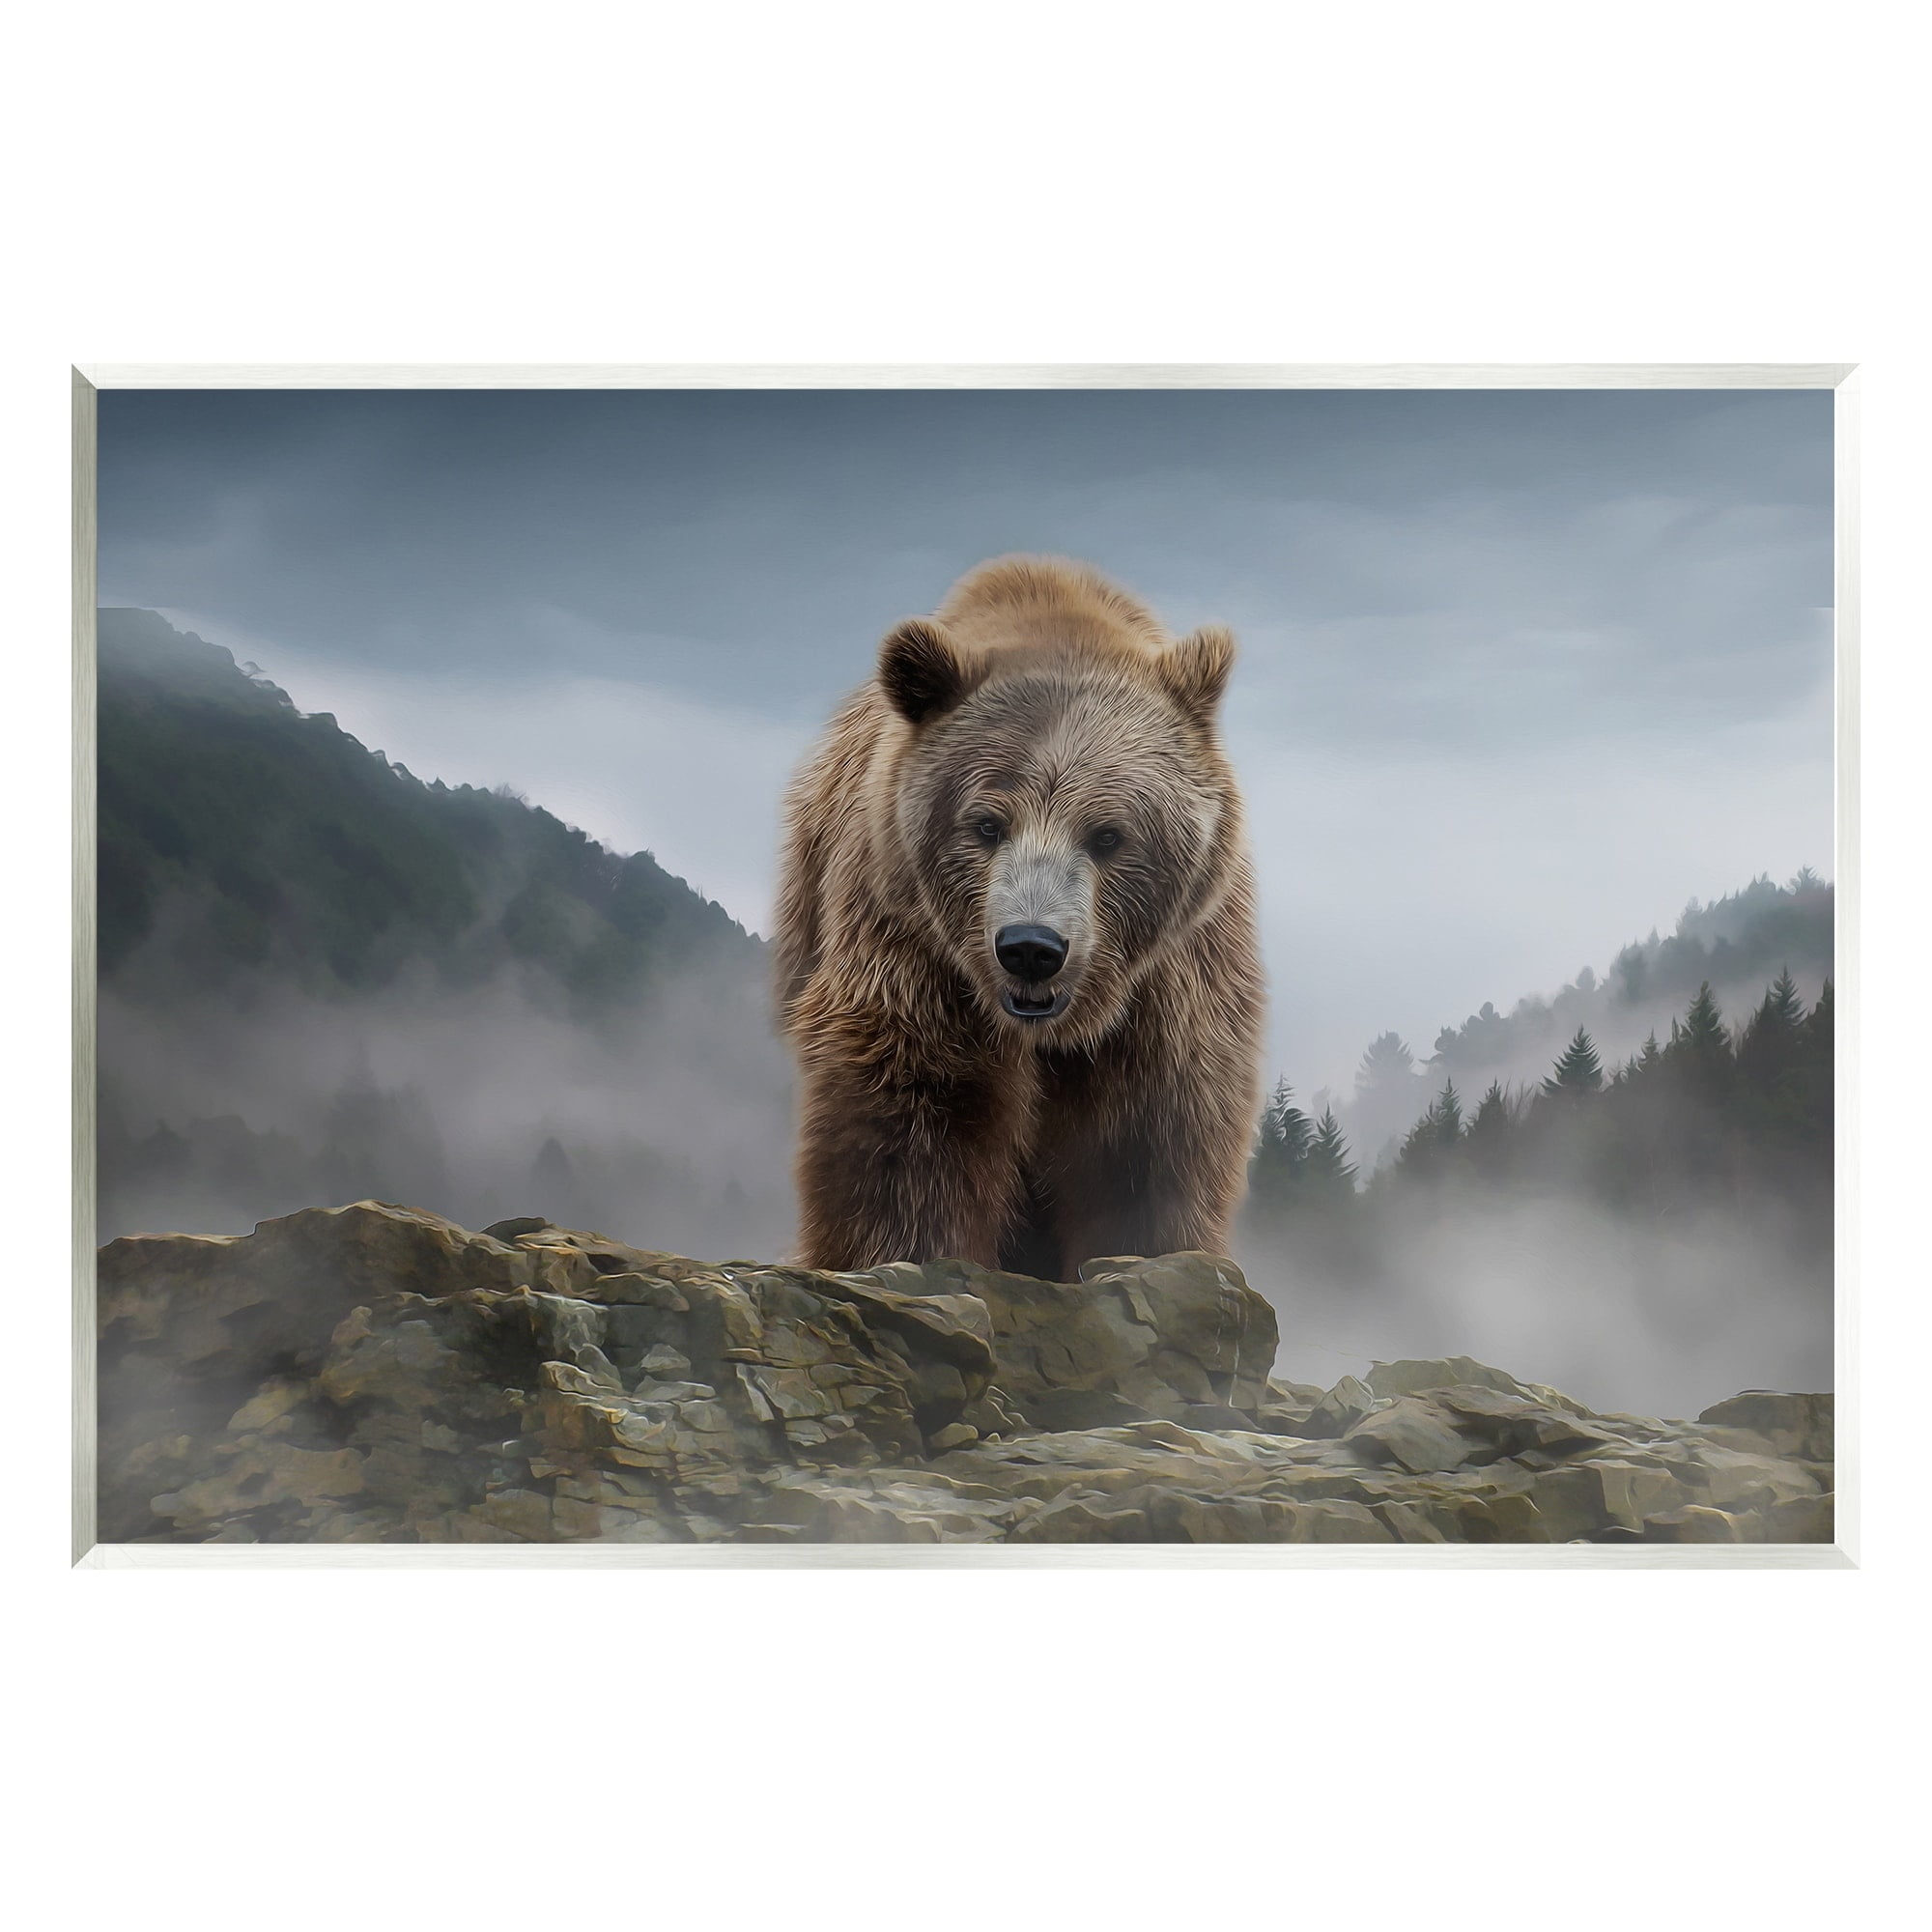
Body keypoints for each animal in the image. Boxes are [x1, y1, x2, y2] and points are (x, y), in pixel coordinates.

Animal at [773, 554, 1265, 1281]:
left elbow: (1149, 1133)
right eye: (986, 824)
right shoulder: (912, 941)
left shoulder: (1174, 974)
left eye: (1109, 835)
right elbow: (919, 1108)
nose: (1032, 947)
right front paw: (914, 1254)